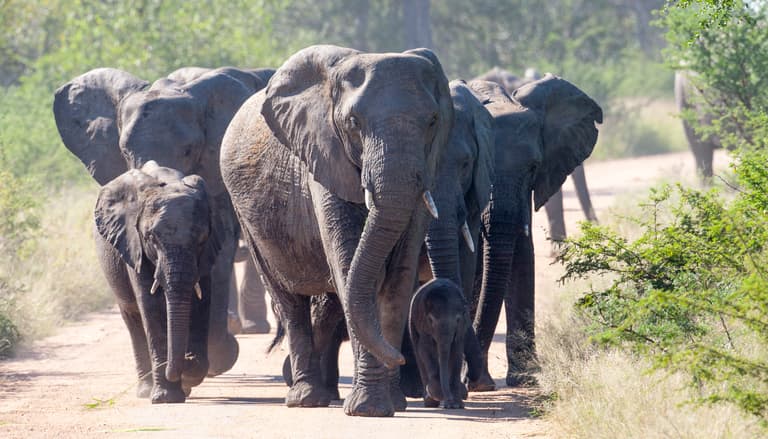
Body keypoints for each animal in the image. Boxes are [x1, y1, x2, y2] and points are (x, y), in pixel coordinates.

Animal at [93, 161, 221, 403]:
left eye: (201, 239)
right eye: (151, 238)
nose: (186, 359)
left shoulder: (206, 254)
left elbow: (201, 303)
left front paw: (189, 369)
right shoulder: (134, 246)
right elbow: (151, 307)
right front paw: (166, 398)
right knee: (133, 318)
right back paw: (145, 390)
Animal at [220, 45, 454, 417]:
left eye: (432, 122)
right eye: (353, 123)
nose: (401, 357)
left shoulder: (425, 168)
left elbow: (398, 280)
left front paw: (392, 403)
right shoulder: (323, 158)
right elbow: (349, 272)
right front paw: (368, 409)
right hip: (248, 218)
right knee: (290, 303)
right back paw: (305, 399)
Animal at [409, 278, 482, 409]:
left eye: (458, 320)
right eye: (431, 320)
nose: (449, 403)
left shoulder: (461, 328)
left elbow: (456, 352)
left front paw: (457, 405)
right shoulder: (423, 324)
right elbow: (425, 350)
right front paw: (438, 395)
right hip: (412, 322)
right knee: (418, 351)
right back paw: (430, 402)